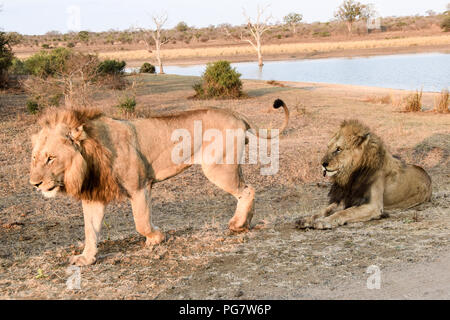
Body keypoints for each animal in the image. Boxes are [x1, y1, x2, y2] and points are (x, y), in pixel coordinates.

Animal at [29, 100, 288, 264]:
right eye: (35, 158)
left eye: (51, 158)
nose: (34, 184)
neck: (90, 153)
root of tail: (236, 114)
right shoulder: (94, 195)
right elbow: (90, 230)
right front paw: (85, 259)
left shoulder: (140, 186)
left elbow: (141, 222)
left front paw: (156, 238)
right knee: (247, 189)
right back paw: (245, 223)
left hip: (218, 167)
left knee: (248, 190)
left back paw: (237, 224)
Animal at [298, 119, 430, 229]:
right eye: (328, 147)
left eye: (339, 149)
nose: (323, 164)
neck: (350, 176)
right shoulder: (344, 198)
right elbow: (324, 210)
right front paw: (306, 219)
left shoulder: (373, 206)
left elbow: (345, 212)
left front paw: (324, 221)